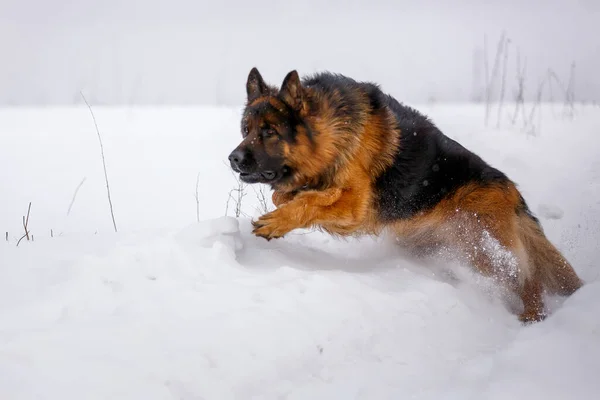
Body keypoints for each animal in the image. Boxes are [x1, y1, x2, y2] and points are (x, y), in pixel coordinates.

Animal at [227, 65, 584, 322]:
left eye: (269, 132)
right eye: (246, 130)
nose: (233, 158)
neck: (330, 134)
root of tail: (511, 191)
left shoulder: (356, 207)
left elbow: (312, 200)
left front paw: (277, 222)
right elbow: (291, 197)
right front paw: (288, 204)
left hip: (485, 246)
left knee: (528, 280)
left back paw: (533, 317)